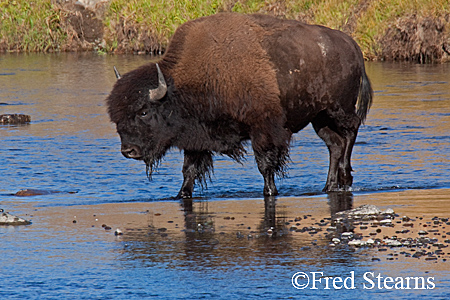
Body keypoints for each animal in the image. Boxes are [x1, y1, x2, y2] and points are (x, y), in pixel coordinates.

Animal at [106, 12, 372, 199]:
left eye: (143, 111)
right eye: (116, 118)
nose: (128, 150)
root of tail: (352, 44)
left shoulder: (263, 130)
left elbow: (265, 165)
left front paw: (270, 192)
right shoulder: (196, 138)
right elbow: (189, 170)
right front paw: (181, 194)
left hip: (338, 110)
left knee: (350, 134)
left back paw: (345, 177)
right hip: (319, 118)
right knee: (334, 145)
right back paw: (329, 186)